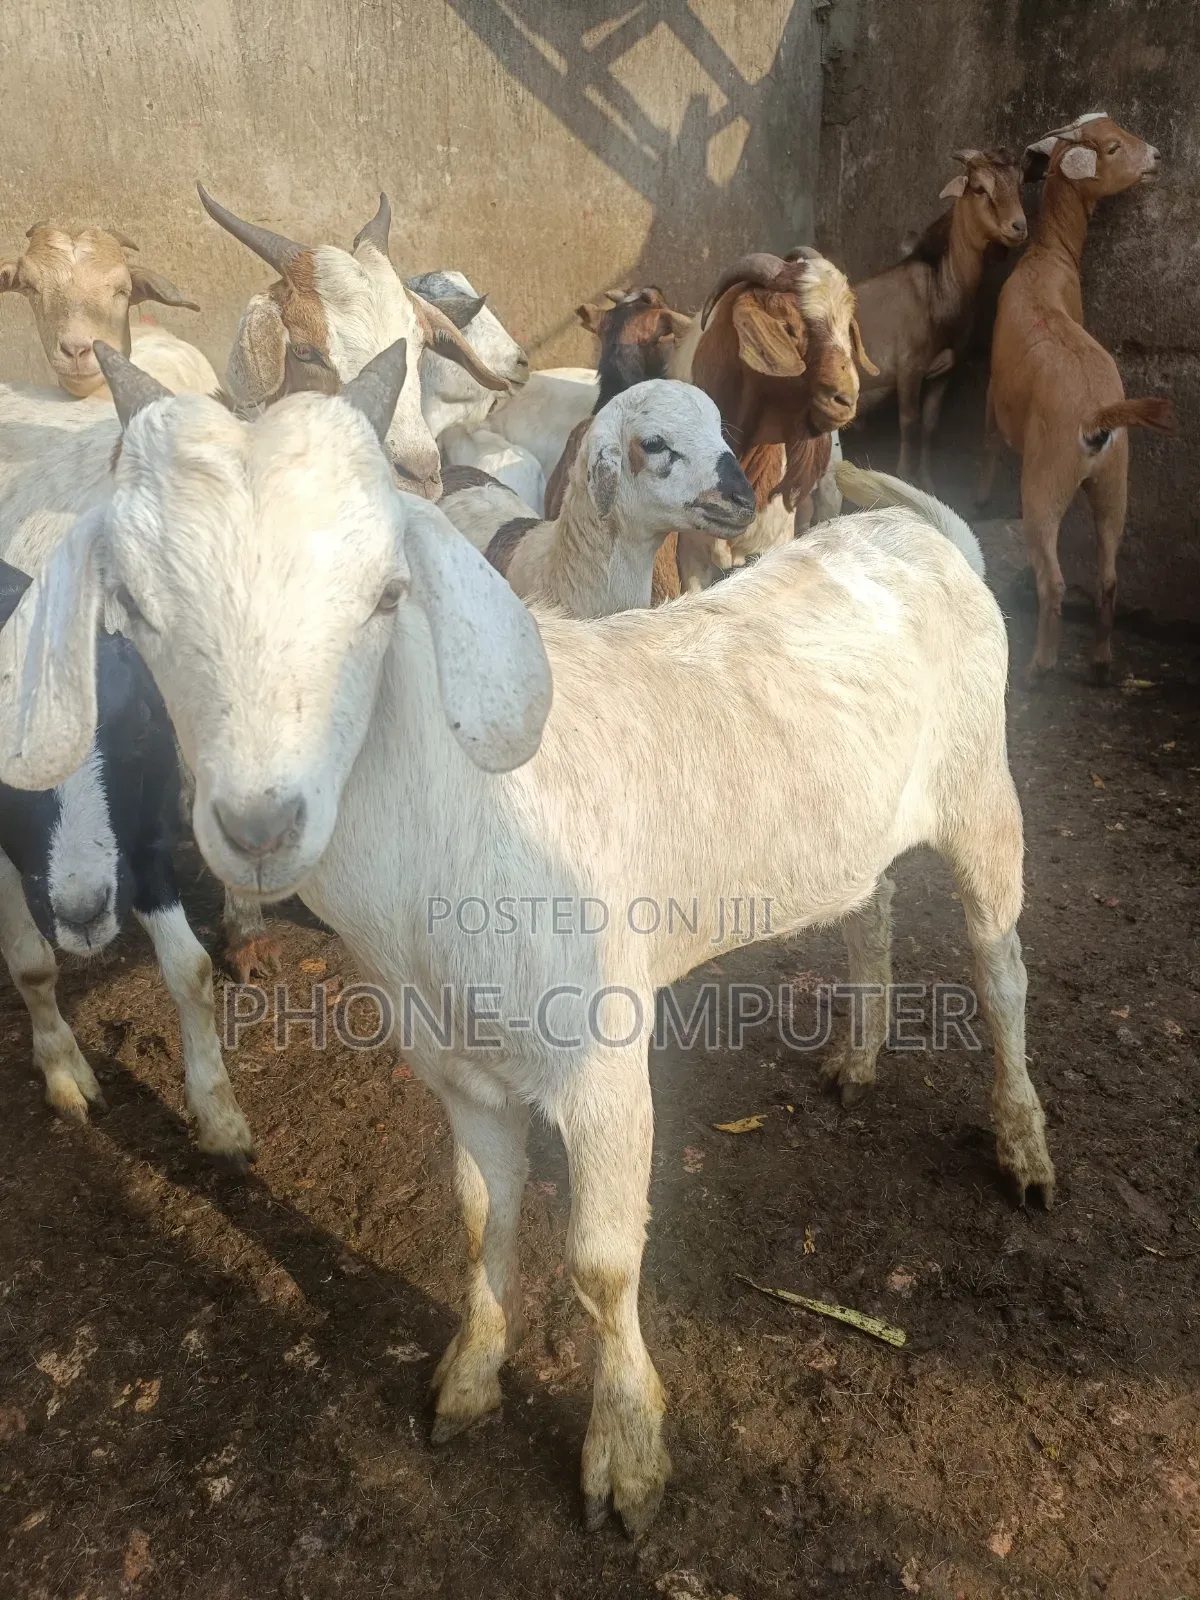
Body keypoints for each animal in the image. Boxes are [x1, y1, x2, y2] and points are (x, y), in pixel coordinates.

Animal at [0, 555, 252, 1164]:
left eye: (139, 728)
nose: (83, 912)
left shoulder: (144, 841)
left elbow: (191, 968)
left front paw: (221, 1120)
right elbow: (33, 965)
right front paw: (64, 1078)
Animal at [668, 247, 877, 591]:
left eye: (847, 328)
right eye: (787, 328)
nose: (846, 399)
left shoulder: (773, 543)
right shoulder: (690, 551)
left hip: (827, 491)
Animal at [852, 150, 1026, 490]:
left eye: (1019, 182)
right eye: (979, 188)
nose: (1019, 226)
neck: (938, 290)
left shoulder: (945, 371)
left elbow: (930, 426)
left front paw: (928, 482)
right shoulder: (908, 368)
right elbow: (910, 424)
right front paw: (905, 478)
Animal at [977, 114, 1175, 684]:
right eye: (1111, 146)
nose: (1156, 157)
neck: (1048, 261)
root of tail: (1098, 416)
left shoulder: (994, 390)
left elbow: (989, 439)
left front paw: (979, 497)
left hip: (1045, 479)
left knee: (1055, 580)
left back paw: (1039, 667)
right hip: (1115, 480)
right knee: (1108, 575)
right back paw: (1101, 662)